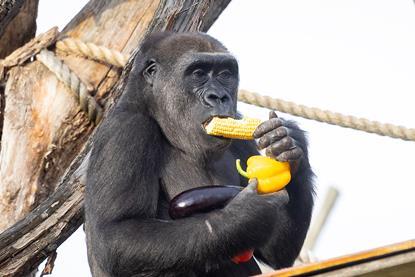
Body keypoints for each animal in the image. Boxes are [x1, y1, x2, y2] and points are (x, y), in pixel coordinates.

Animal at [87, 31, 316, 274]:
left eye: (225, 74)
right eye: (198, 74)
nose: (219, 97)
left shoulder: (239, 126)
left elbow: (276, 253)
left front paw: (288, 144)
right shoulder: (127, 130)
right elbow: (118, 233)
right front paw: (245, 216)